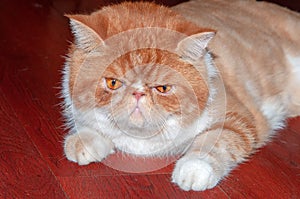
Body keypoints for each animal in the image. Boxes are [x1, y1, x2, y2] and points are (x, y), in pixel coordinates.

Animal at [61, 0, 300, 192]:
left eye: (163, 88)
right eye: (113, 83)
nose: (138, 93)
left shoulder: (237, 118)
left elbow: (215, 141)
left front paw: (194, 168)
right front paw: (85, 140)